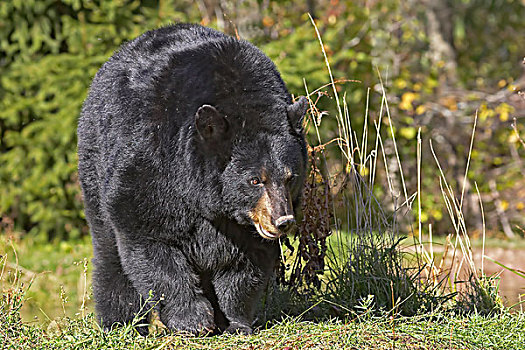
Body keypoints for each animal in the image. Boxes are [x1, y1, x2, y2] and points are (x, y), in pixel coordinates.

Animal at [77, 23, 308, 334]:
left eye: (289, 177)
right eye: (255, 180)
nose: (282, 221)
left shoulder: (245, 226)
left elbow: (245, 264)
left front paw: (235, 322)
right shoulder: (153, 162)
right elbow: (149, 240)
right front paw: (192, 319)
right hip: (95, 165)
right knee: (109, 250)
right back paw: (119, 322)